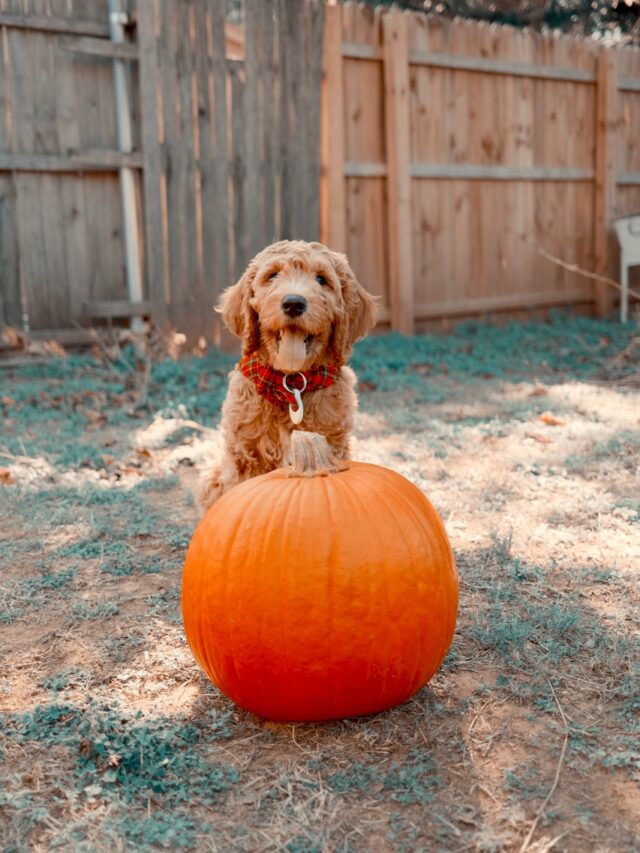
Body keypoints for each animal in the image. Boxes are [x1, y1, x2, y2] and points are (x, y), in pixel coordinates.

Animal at [200, 236, 376, 510]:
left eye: (321, 279)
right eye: (272, 276)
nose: (294, 303)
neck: (289, 383)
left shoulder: (334, 442)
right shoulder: (244, 454)